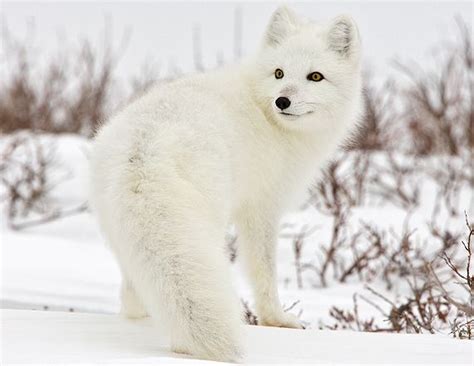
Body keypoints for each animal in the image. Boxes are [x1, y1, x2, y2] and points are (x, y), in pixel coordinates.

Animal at [90, 5, 362, 364]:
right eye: (279, 73)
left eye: (315, 77)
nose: (282, 101)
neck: (267, 116)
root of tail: (144, 150)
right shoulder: (262, 209)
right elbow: (264, 272)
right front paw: (276, 319)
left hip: (121, 233)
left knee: (133, 291)